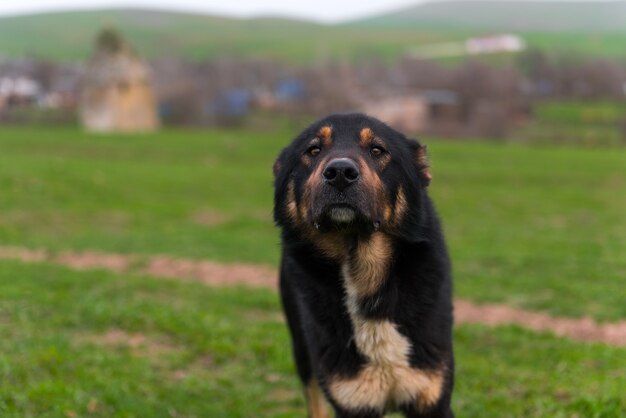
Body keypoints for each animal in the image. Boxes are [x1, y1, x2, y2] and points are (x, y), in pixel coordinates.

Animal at [272, 113, 454, 418]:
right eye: (313, 150)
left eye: (377, 150)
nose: (340, 172)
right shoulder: (351, 400)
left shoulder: (431, 397)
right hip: (302, 350)